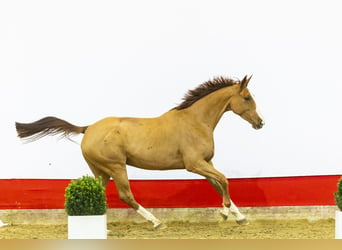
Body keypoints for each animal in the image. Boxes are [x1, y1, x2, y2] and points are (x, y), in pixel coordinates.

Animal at [16, 74, 264, 229]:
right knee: (126, 195)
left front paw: (240, 217)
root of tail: (87, 128)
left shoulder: (206, 163)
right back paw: (156, 222)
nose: (260, 123)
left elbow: (220, 183)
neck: (196, 121)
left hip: (100, 171)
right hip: (116, 166)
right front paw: (225, 214)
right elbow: (224, 180)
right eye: (246, 97)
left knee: (99, 191)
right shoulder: (194, 164)